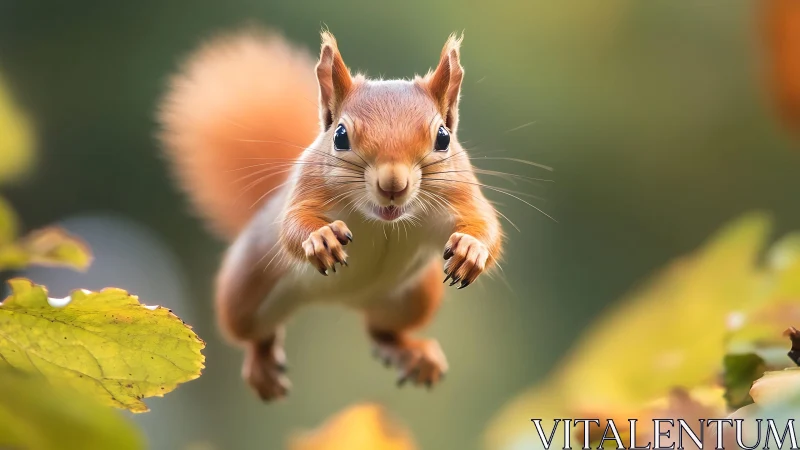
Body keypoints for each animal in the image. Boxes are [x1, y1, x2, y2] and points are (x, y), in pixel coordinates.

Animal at [157, 28, 503, 401]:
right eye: (340, 136)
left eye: (443, 137)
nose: (393, 184)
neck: (381, 222)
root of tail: (346, 301)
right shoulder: (308, 189)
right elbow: (293, 225)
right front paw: (320, 238)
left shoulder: (461, 195)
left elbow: (487, 225)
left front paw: (471, 250)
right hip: (246, 291)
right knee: (255, 333)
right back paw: (262, 364)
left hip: (413, 298)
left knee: (381, 332)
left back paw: (412, 354)